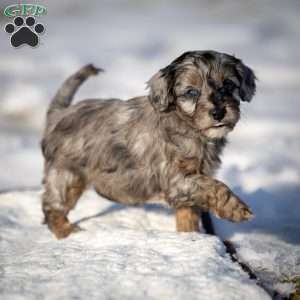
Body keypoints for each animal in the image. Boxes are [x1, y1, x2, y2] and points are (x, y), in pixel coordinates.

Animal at [41, 51, 256, 239]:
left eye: (228, 85)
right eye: (192, 92)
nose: (219, 112)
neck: (187, 126)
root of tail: (59, 113)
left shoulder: (189, 186)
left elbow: (188, 214)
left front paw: (190, 238)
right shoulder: (176, 179)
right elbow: (215, 187)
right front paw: (235, 208)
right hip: (66, 175)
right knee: (52, 208)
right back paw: (66, 232)